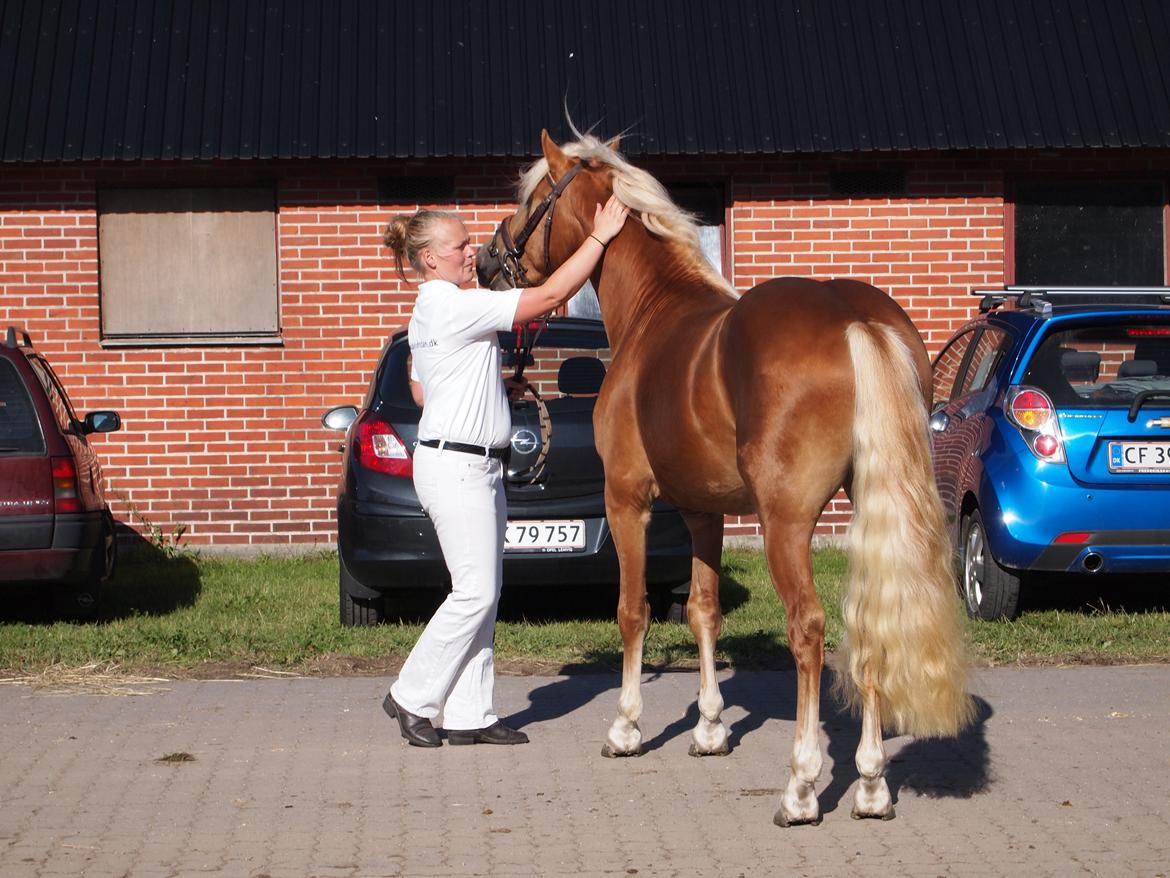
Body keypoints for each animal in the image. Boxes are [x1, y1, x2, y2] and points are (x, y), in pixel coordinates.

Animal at [472, 130, 968, 824]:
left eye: (533, 197)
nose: (488, 261)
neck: (654, 312)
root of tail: (853, 318)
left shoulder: (627, 500)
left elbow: (633, 611)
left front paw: (625, 727)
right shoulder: (703, 511)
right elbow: (703, 610)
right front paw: (709, 728)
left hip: (786, 522)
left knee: (808, 628)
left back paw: (802, 787)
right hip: (871, 506)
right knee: (871, 624)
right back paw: (870, 785)